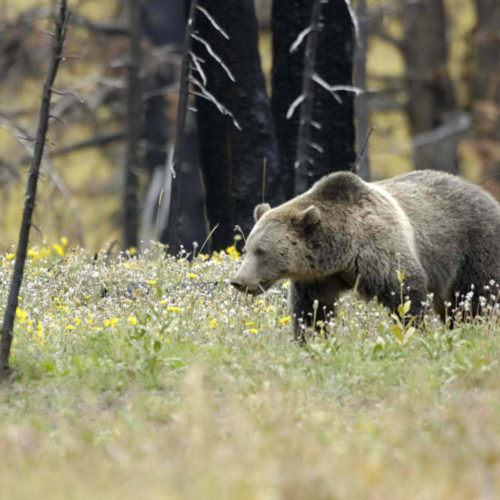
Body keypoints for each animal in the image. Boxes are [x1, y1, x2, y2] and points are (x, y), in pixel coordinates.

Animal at [231, 169, 500, 336]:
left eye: (262, 251)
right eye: (247, 248)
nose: (238, 281)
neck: (341, 251)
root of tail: (487, 195)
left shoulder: (380, 251)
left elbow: (406, 293)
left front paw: (414, 331)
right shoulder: (319, 277)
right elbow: (311, 310)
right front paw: (309, 337)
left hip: (474, 247)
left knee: (476, 298)